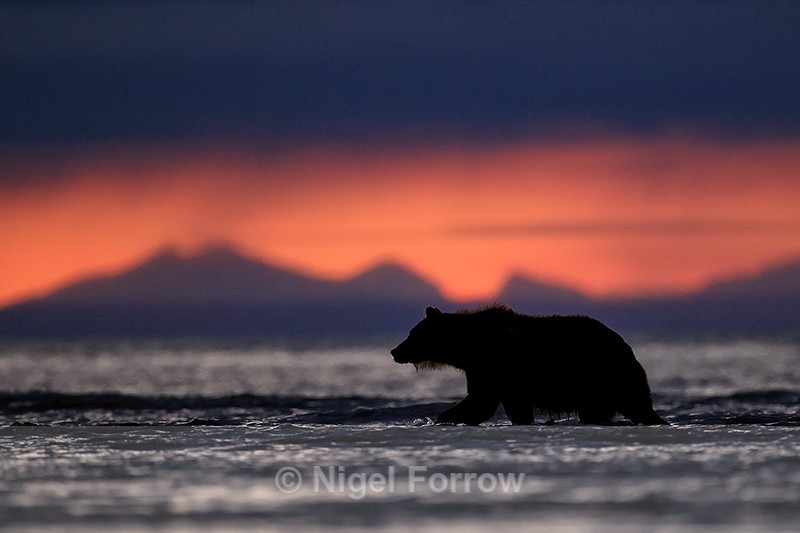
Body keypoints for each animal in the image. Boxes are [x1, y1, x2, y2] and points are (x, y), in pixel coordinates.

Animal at [390, 305, 667, 425]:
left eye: (412, 333)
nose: (394, 351)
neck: (469, 348)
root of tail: (625, 345)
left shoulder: (496, 363)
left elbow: (481, 402)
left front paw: (445, 416)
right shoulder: (488, 372)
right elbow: (498, 404)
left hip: (604, 373)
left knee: (634, 403)